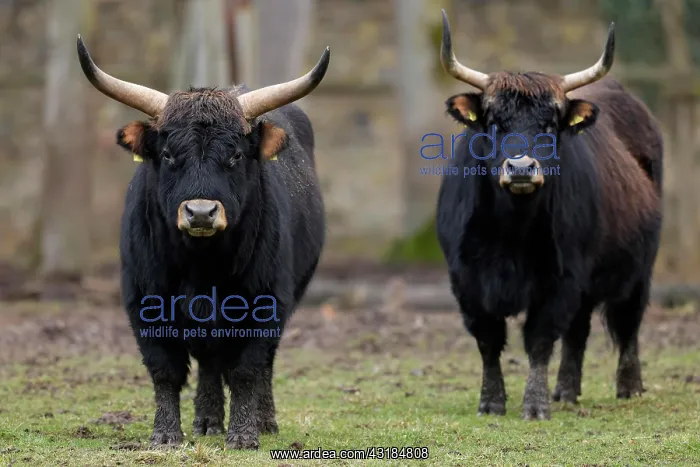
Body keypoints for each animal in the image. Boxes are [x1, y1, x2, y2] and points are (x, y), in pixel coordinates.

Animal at [76, 35, 330, 448]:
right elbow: (165, 369)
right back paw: (207, 420)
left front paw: (243, 434)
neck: (201, 264)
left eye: (236, 154)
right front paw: (165, 433)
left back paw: (262, 420)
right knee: (209, 361)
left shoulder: (265, 302)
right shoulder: (144, 303)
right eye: (167, 154)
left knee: (261, 364)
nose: (200, 213)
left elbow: (247, 369)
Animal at [435, 11, 662, 420]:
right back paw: (566, 390)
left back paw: (629, 386)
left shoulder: (560, 279)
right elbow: (488, 340)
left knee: (628, 323)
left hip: (639, 268)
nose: (522, 168)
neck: (509, 233)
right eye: (494, 122)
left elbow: (539, 340)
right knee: (579, 331)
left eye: (550, 125)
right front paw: (491, 401)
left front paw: (536, 404)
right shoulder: (465, 281)